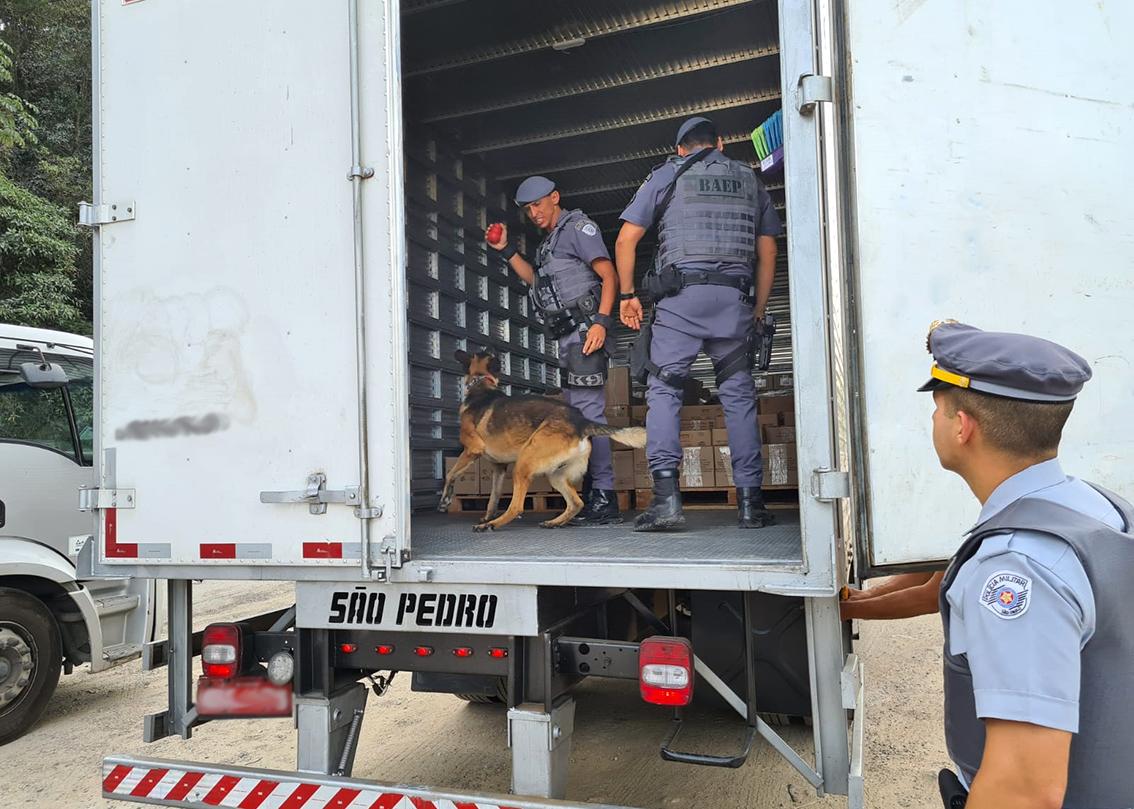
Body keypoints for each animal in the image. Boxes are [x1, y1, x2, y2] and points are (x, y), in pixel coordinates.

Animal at [435, 349, 648, 531]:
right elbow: (493, 497)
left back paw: (492, 525)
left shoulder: (472, 449)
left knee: (517, 507)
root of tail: (581, 421)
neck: (482, 384)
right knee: (576, 502)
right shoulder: (499, 468)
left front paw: (445, 500)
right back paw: (554, 522)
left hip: (523, 463)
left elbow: (451, 474)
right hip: (555, 474)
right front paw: (487, 515)